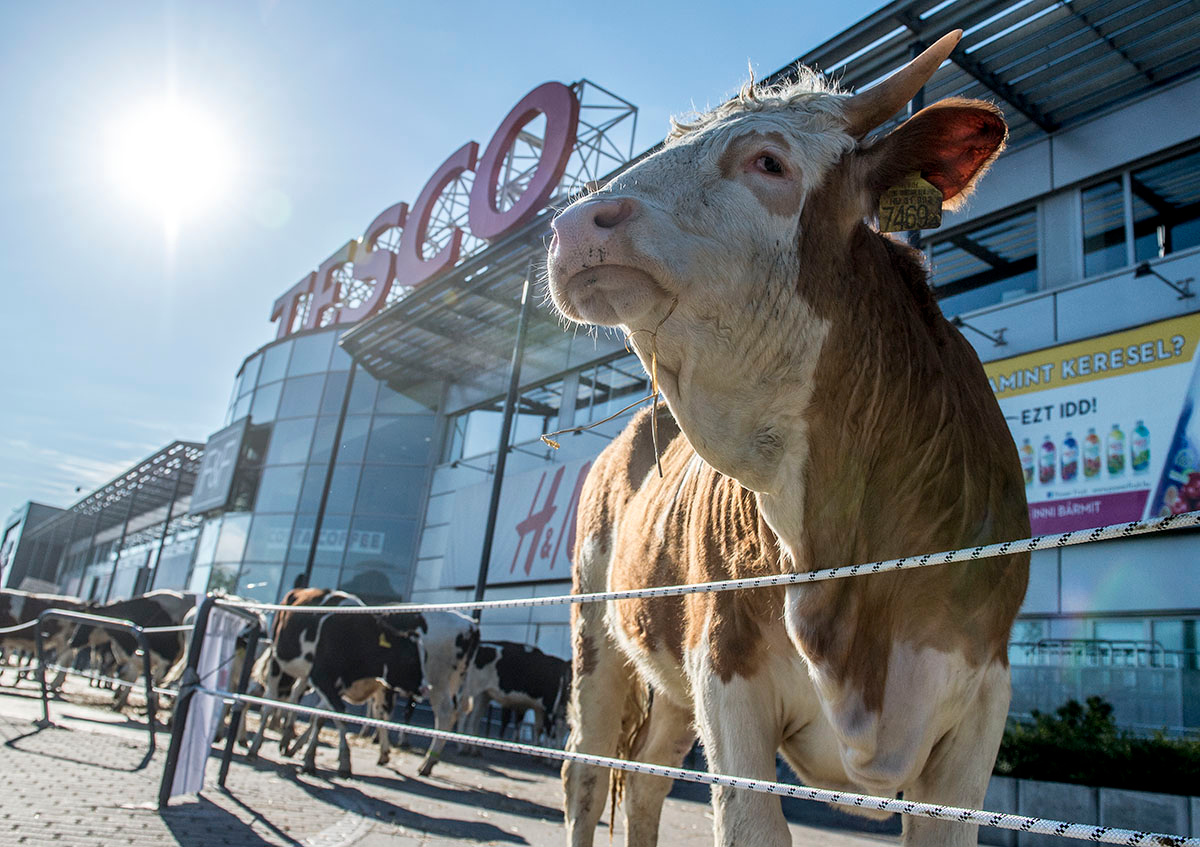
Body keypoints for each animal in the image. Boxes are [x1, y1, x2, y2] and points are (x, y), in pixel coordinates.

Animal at [297, 609, 424, 777]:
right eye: (410, 658)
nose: (423, 688)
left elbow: (326, 715)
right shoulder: (327, 683)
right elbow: (322, 715)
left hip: (383, 692)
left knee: (383, 715)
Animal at [549, 28, 1027, 844]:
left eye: (768, 162)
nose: (575, 225)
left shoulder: (981, 703)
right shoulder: (725, 664)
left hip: (668, 682)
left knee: (644, 780)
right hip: (594, 627)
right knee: (586, 768)